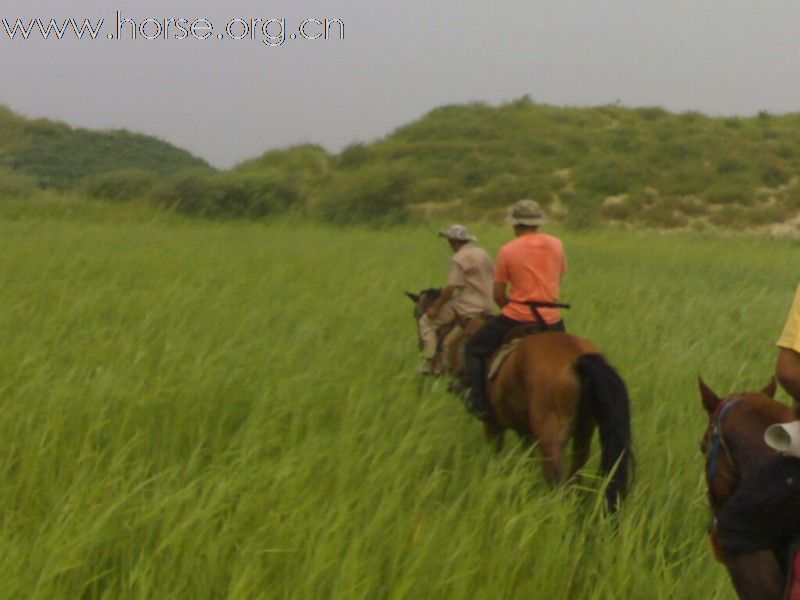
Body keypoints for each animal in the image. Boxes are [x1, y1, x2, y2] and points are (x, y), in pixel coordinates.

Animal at [410, 290, 636, 510]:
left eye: (461, 344)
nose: (453, 379)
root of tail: (577, 360)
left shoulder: (492, 425)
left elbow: (497, 455)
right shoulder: (525, 432)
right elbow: (527, 463)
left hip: (550, 437)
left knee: (558, 484)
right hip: (584, 432)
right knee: (574, 478)